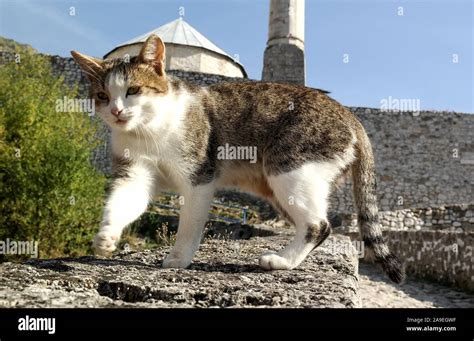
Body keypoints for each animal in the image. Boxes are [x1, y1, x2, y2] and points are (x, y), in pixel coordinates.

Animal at [72, 34, 406, 282]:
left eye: (133, 90)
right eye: (102, 96)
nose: (116, 111)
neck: (147, 132)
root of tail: (350, 114)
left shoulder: (199, 178)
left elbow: (189, 224)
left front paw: (178, 258)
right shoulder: (135, 173)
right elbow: (123, 202)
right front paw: (106, 236)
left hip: (288, 168)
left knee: (319, 225)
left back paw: (281, 261)